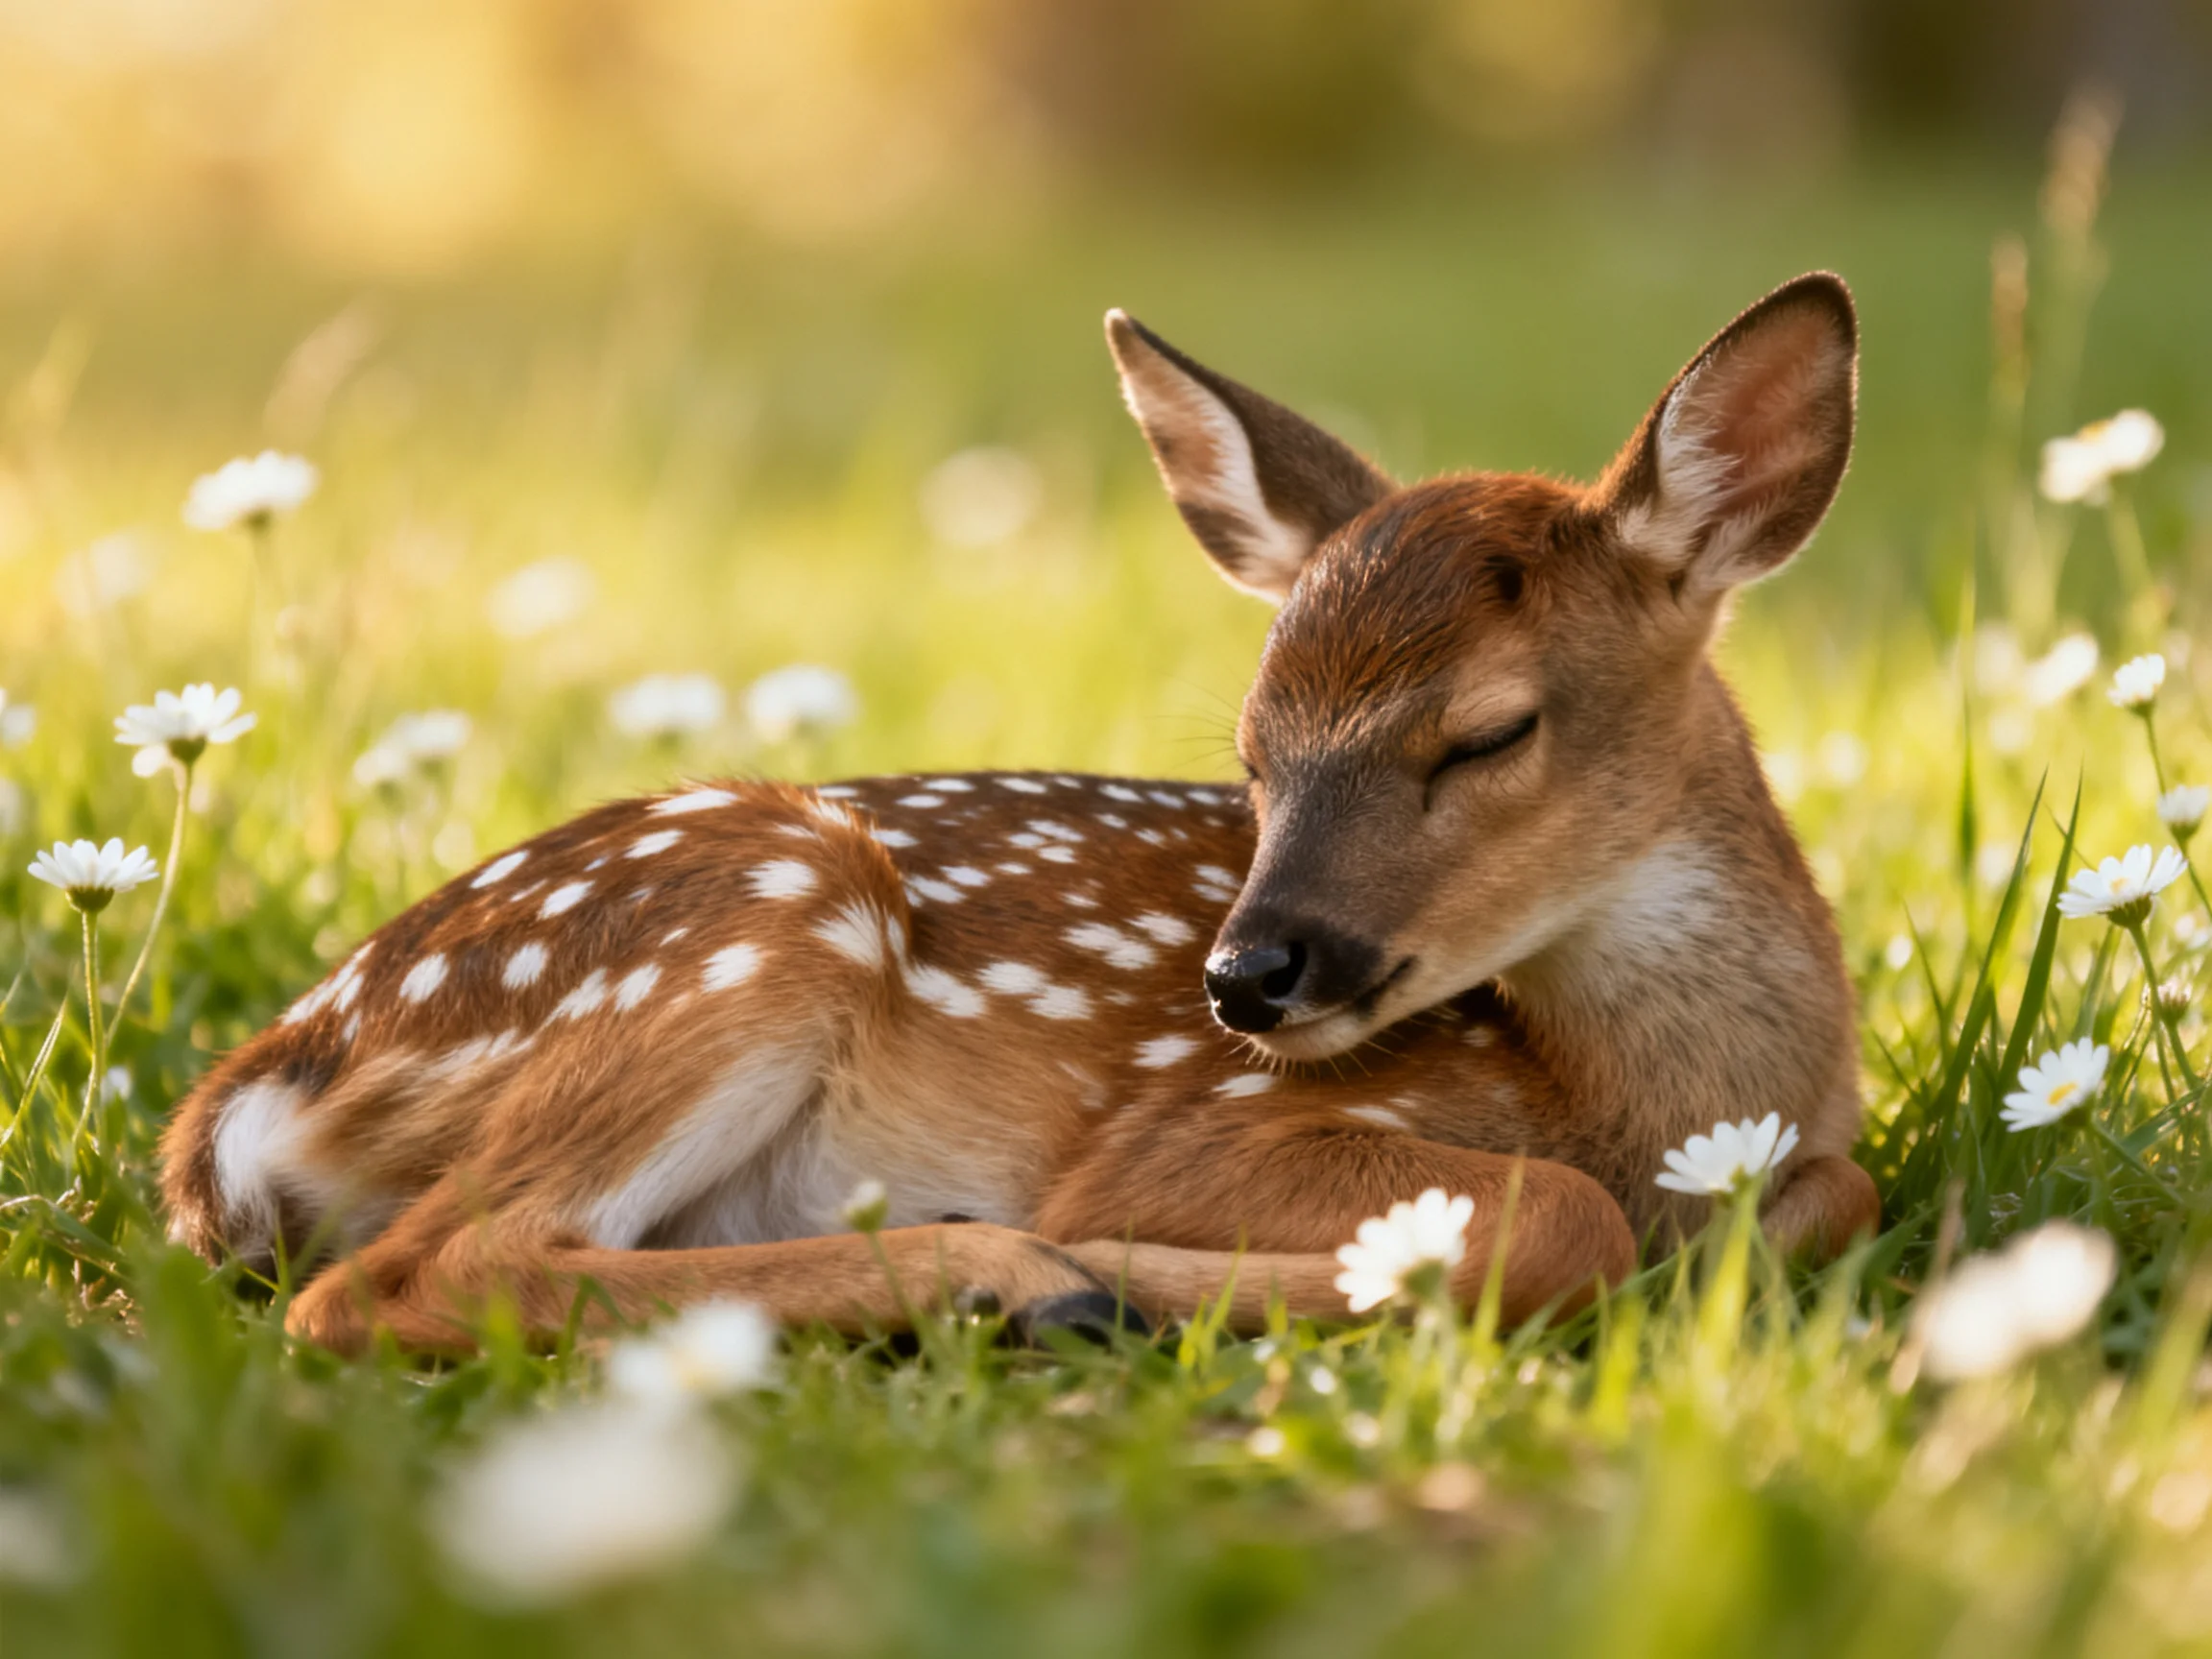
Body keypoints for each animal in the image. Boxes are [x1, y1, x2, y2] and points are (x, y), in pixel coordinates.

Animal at [159, 273, 1881, 1354]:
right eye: (1251, 754)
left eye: (1488, 732)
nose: (1243, 977)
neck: (1661, 1104)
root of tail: (258, 1086)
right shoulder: (1194, 1128)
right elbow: (1568, 1221)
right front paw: (1149, 1270)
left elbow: (1837, 1191)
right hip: (752, 920)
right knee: (411, 1276)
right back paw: (1022, 1280)